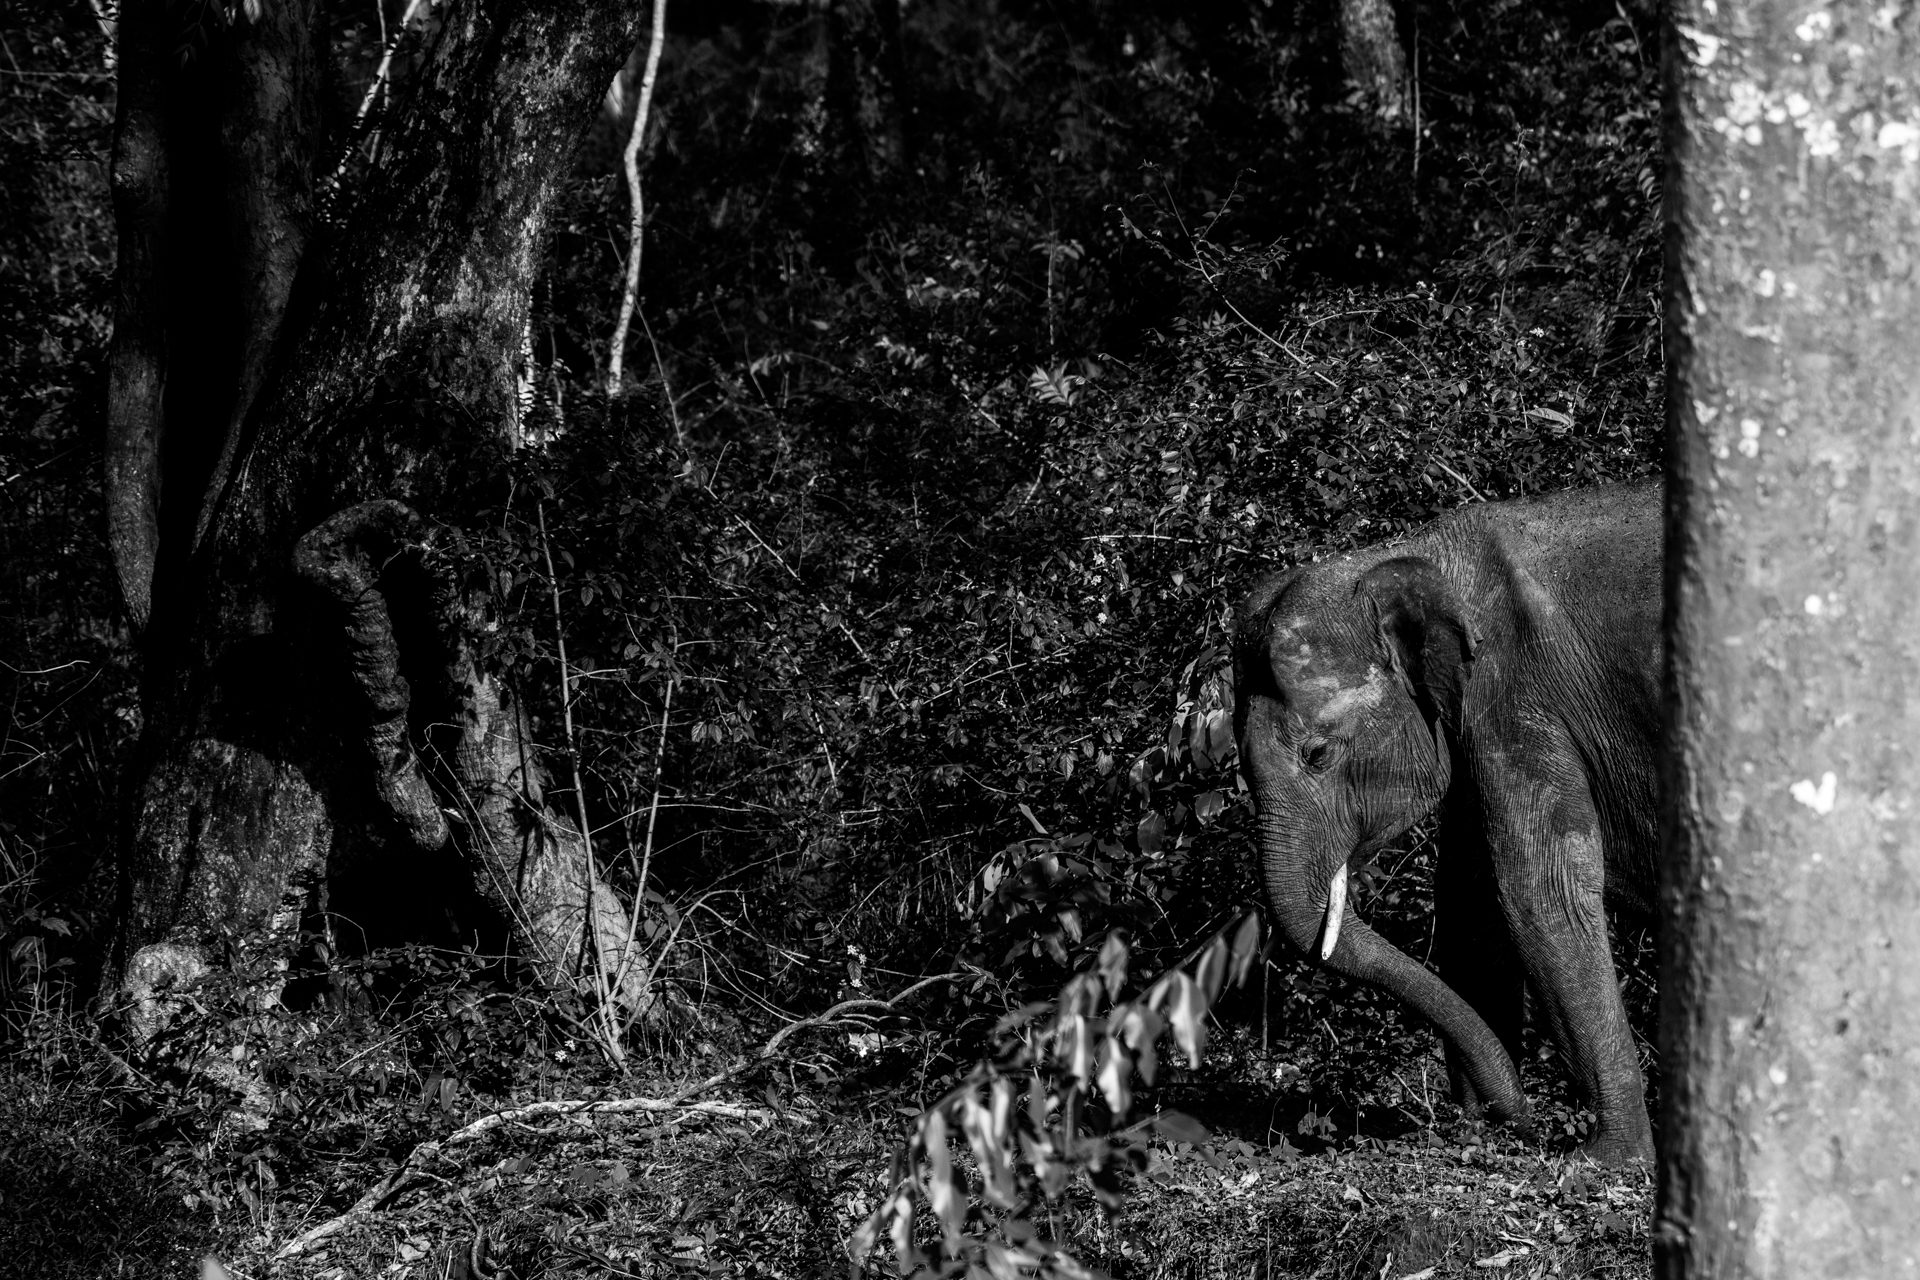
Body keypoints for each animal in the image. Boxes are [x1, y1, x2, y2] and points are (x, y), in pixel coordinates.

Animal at [1233, 480, 1662, 1163]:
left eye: (1318, 754)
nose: (1528, 1121)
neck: (1411, 553)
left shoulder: (1513, 694)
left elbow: (1538, 893)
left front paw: (1609, 1160)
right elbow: (1471, 904)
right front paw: (1477, 1133)